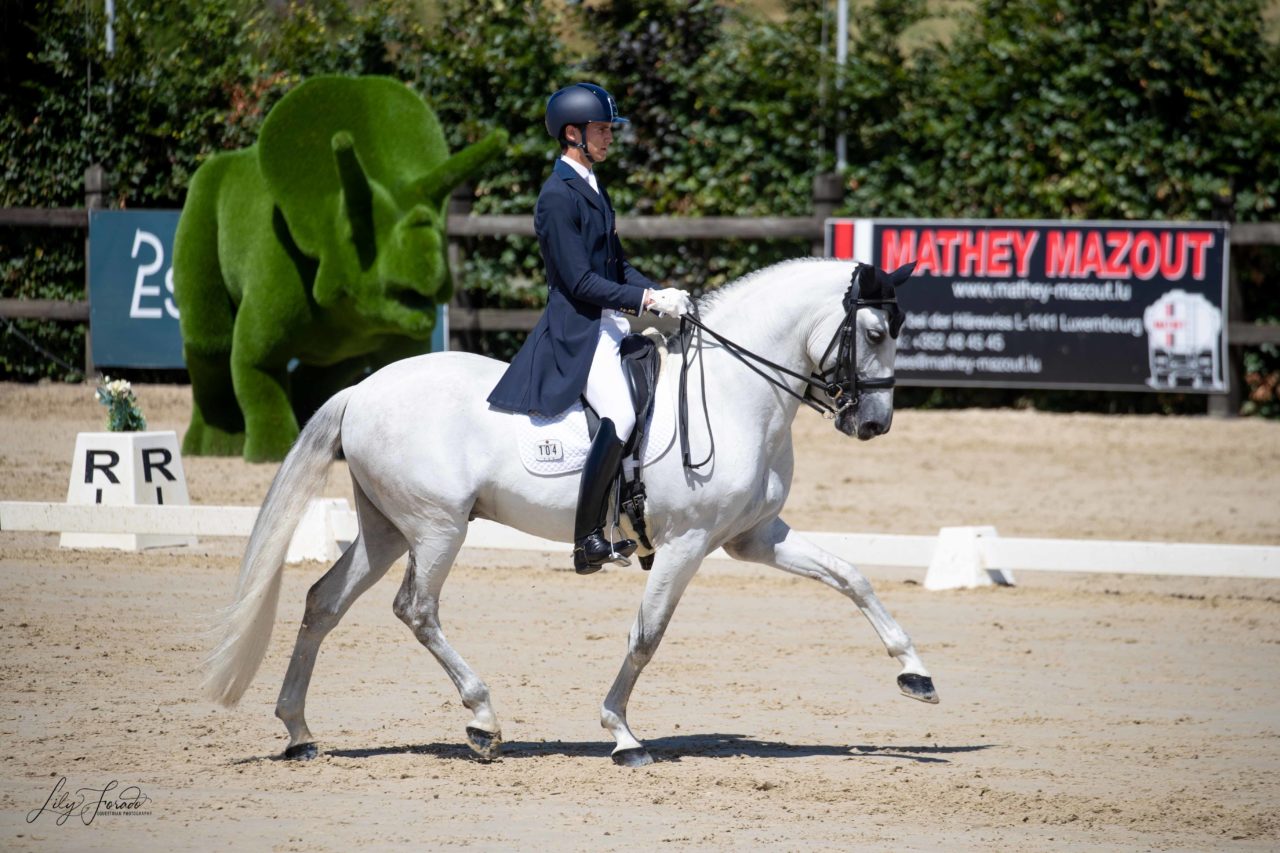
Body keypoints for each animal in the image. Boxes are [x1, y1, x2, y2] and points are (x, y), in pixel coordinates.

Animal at [204, 253, 936, 763]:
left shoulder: (752, 535)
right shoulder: (687, 541)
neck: (734, 391)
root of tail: (360, 390)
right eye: (874, 330)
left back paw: (299, 731)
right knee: (416, 609)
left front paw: (915, 672)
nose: (874, 423)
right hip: (437, 527)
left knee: (324, 601)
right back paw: (483, 720)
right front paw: (622, 734)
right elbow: (647, 634)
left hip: (387, 528)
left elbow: (851, 576)